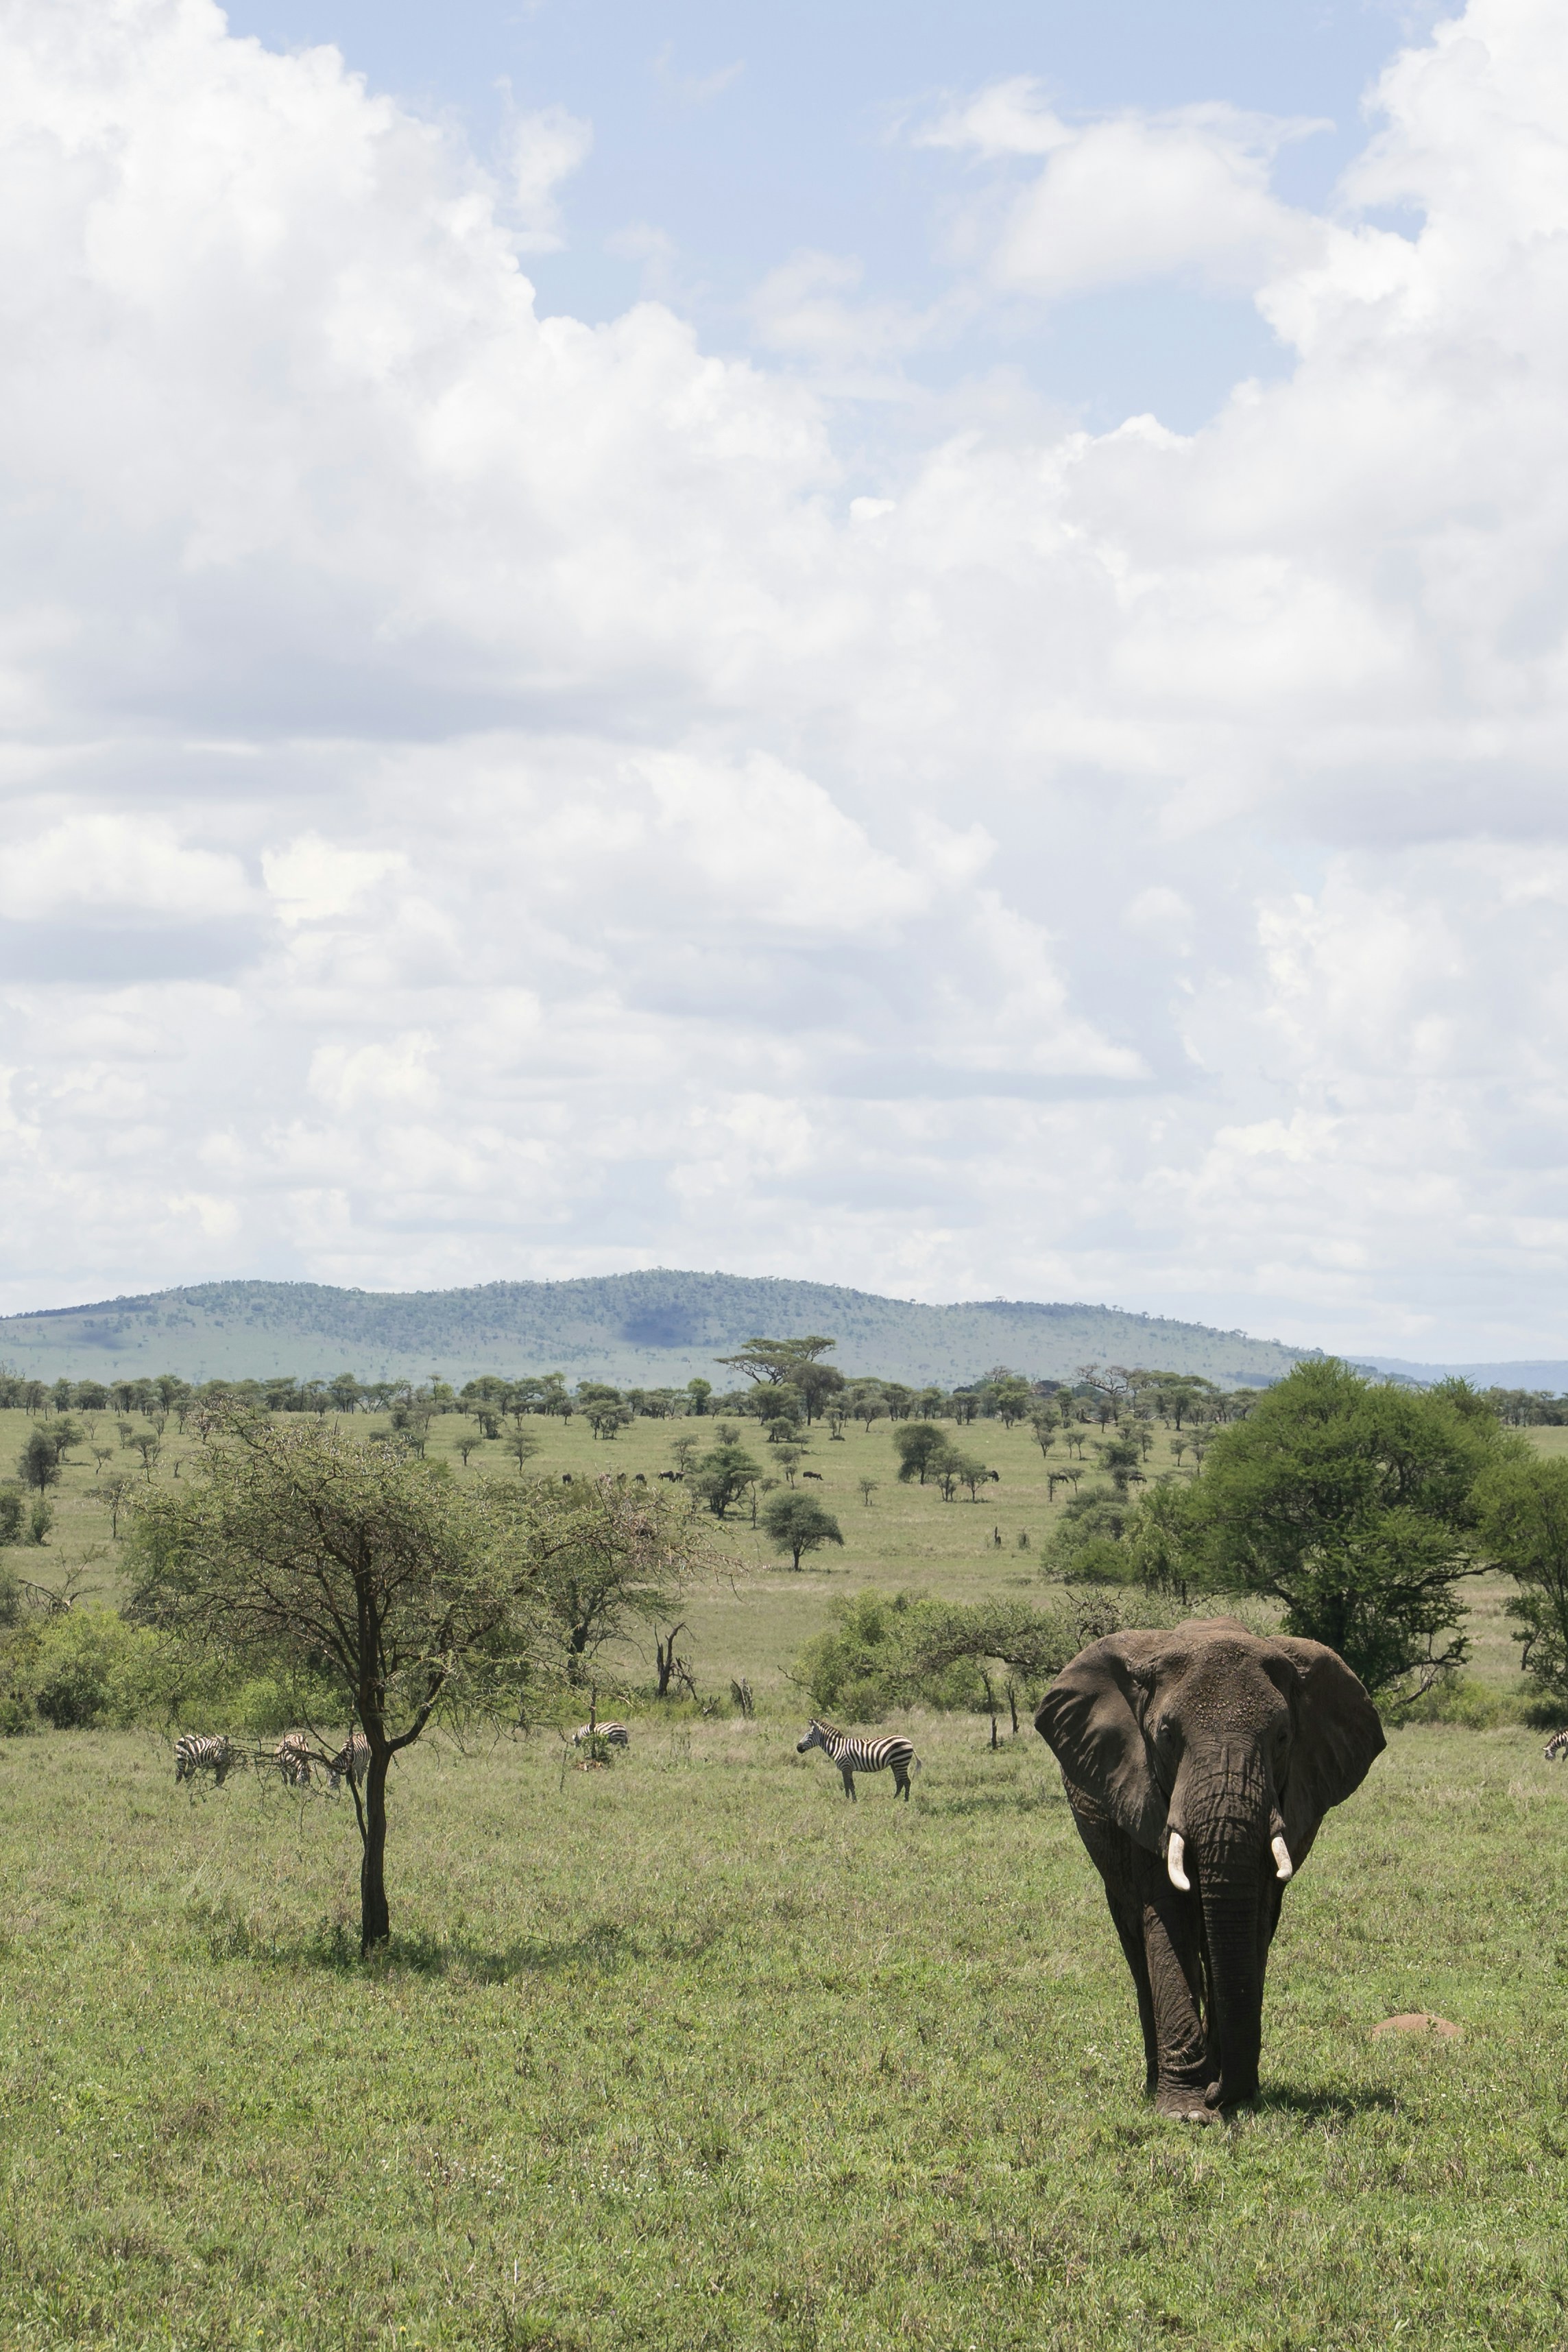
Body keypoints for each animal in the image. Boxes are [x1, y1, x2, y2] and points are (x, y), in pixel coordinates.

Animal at [796, 1719, 920, 1801]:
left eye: (810, 1735)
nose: (798, 1748)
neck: (838, 1747)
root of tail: (909, 1741)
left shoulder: (846, 1766)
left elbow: (850, 1784)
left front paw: (853, 1801)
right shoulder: (845, 1769)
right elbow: (846, 1784)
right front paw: (847, 1799)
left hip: (901, 1761)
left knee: (907, 1781)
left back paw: (905, 1801)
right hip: (895, 1764)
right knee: (899, 1782)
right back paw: (894, 1799)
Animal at [1035, 1616, 1384, 2118]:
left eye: (1282, 1738)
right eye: (1165, 1736)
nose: (1218, 2093)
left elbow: (1253, 1920)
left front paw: (1235, 2095)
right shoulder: (1140, 1790)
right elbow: (1167, 1915)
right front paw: (1185, 2110)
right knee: (1134, 1938)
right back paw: (1154, 2084)